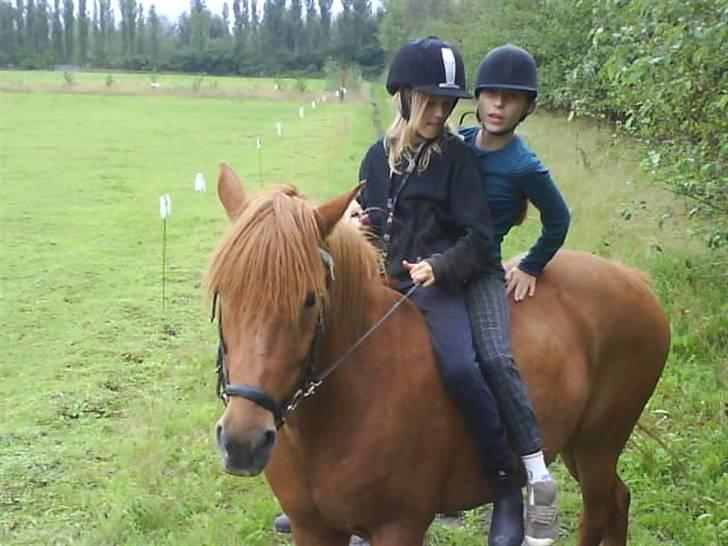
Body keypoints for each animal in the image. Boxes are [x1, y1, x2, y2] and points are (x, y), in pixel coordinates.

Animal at [206, 164, 670, 546]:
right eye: (223, 293)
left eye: (309, 300)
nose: (244, 442)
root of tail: (632, 279)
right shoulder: (313, 529)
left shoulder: (399, 527)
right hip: (578, 444)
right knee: (618, 501)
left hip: (598, 444)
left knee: (599, 510)